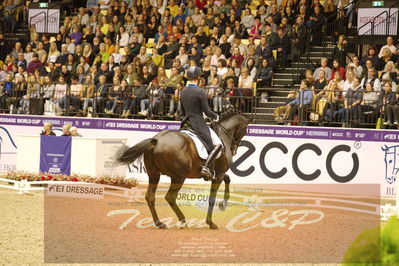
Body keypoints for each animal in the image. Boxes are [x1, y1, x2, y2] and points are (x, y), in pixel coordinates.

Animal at [115, 109, 252, 230]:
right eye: (245, 130)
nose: (234, 149)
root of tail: (156, 141)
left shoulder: (217, 173)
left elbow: (228, 179)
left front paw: (223, 204)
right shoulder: (219, 173)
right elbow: (212, 198)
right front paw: (211, 222)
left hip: (154, 174)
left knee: (150, 197)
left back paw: (159, 223)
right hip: (178, 177)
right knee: (170, 197)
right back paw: (183, 221)